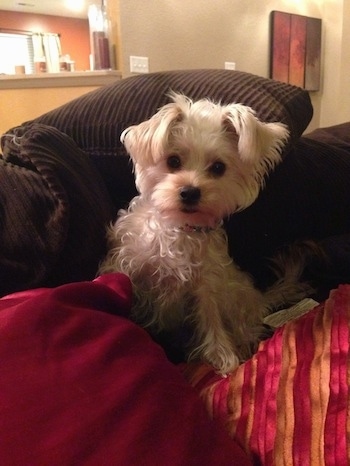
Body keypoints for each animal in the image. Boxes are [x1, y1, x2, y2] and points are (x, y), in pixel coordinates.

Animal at [99, 93, 306, 374]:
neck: (180, 229)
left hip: (236, 297)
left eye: (218, 167)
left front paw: (222, 355)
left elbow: (211, 317)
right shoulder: (129, 266)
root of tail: (259, 300)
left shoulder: (206, 284)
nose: (190, 192)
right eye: (173, 161)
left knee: (244, 327)